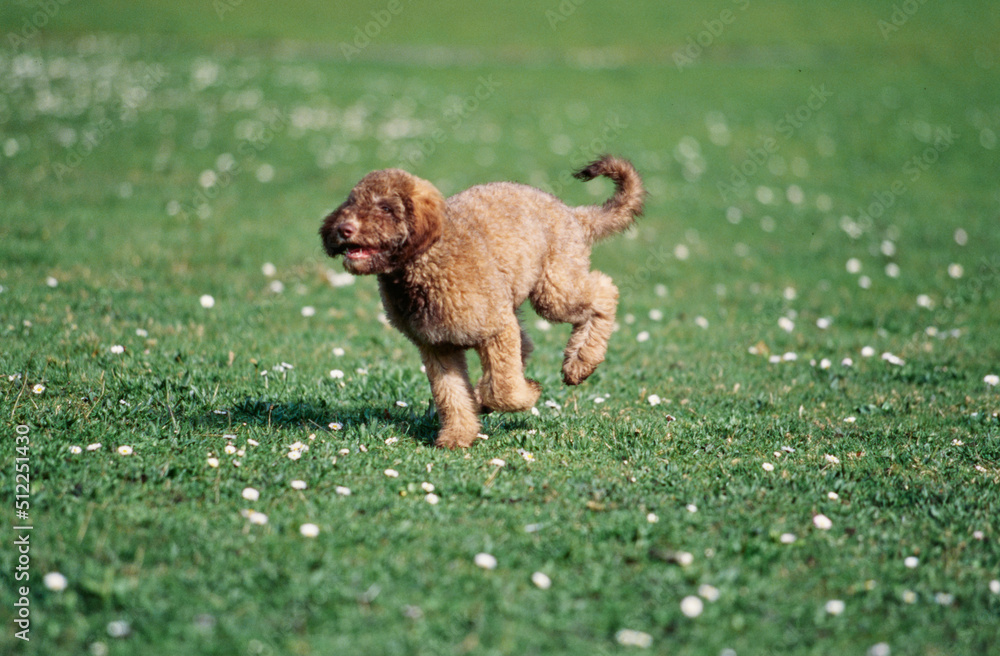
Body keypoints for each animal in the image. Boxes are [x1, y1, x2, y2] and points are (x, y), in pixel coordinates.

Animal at [324, 156, 644, 448]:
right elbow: (451, 395)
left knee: (605, 292)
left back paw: (580, 363)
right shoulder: (437, 348)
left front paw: (529, 393)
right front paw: (457, 436)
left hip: (553, 290)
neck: (427, 262)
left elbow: (503, 389)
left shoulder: (496, 329)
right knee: (528, 343)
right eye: (351, 203)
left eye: (386, 208)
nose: (343, 229)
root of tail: (572, 214)